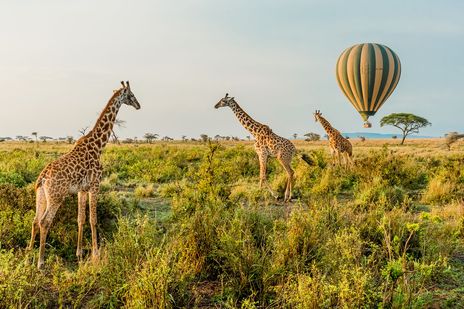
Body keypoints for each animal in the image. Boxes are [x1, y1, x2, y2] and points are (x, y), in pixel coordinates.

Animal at [28, 80, 140, 268]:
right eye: (131, 95)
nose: (139, 105)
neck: (98, 146)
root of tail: (42, 178)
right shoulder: (95, 185)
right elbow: (93, 219)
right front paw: (96, 253)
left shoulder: (82, 189)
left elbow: (80, 219)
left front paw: (79, 253)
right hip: (56, 197)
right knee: (44, 222)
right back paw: (41, 262)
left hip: (41, 195)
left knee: (35, 220)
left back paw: (28, 254)